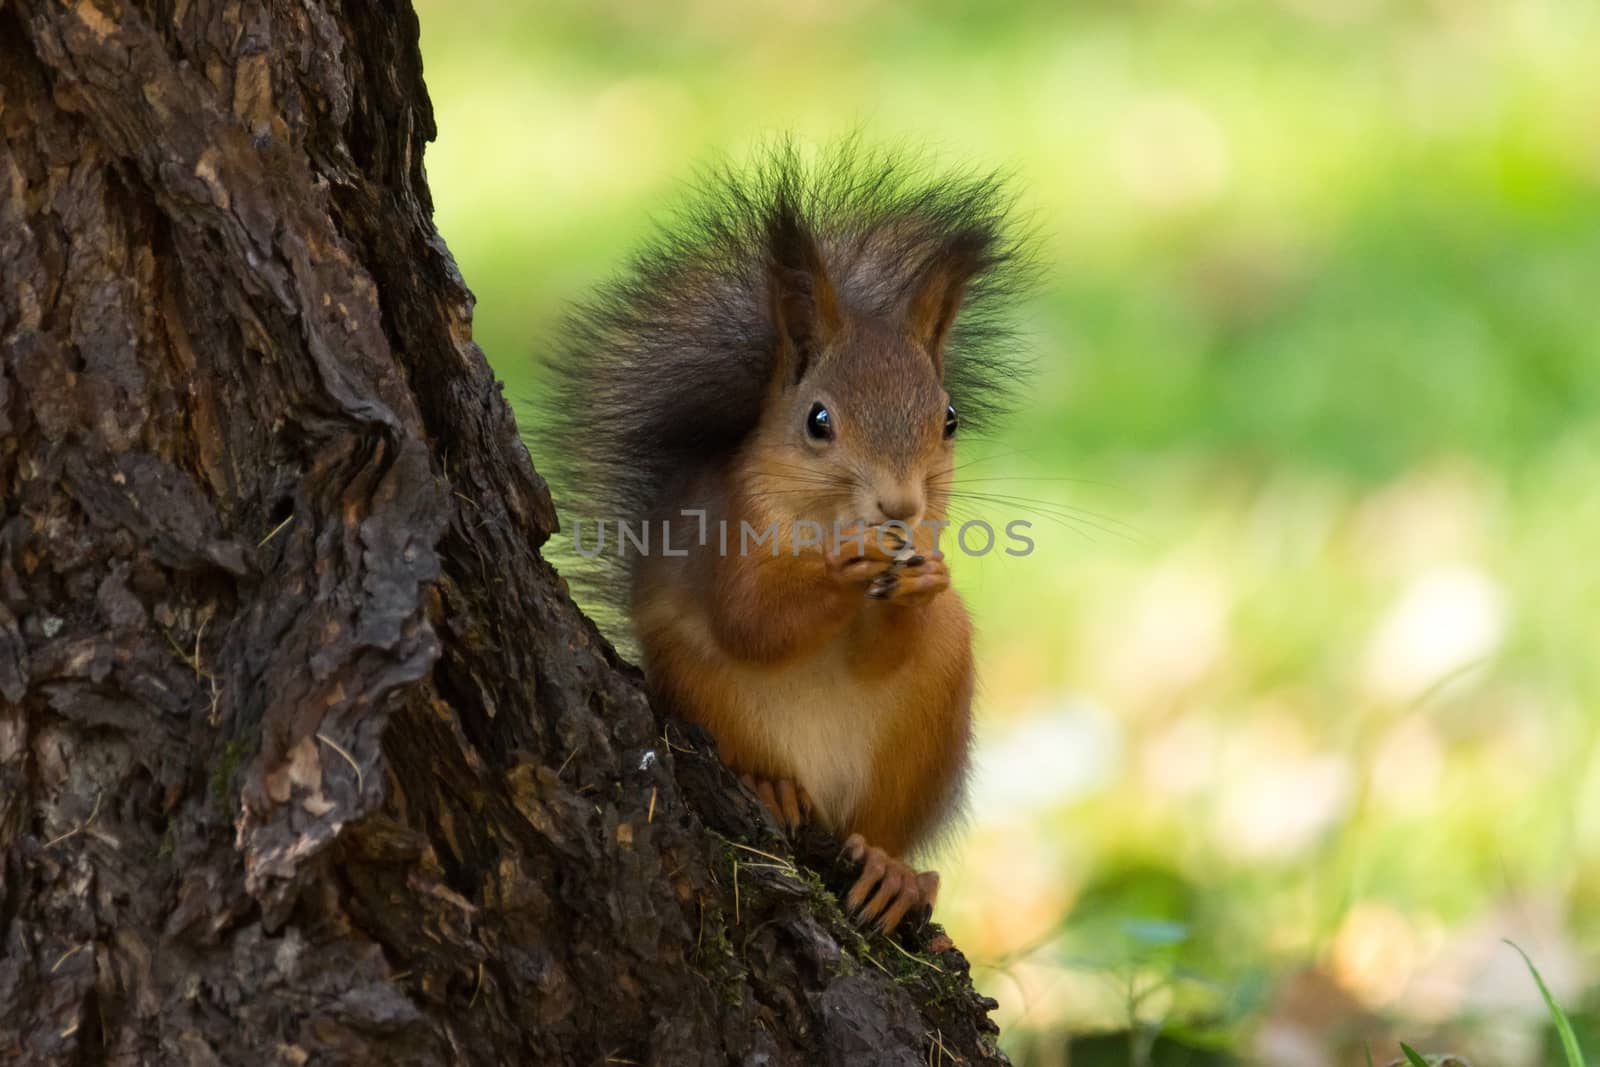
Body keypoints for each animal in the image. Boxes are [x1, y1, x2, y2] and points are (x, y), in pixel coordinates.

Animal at [537, 143, 1030, 934]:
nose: (899, 505)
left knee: (881, 830)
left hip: (926, 731)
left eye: (949, 419)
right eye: (818, 421)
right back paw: (771, 787)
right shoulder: (726, 535)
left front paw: (921, 584)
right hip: (704, 694)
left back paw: (895, 874)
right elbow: (752, 623)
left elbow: (880, 651)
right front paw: (842, 569)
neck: (825, 520)